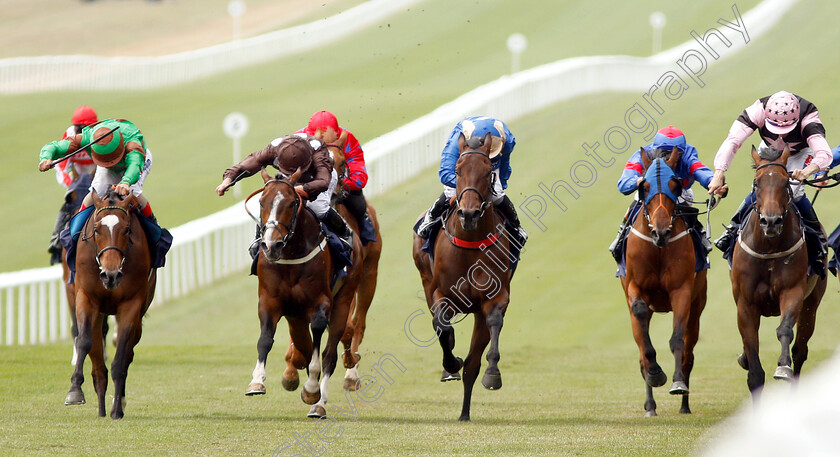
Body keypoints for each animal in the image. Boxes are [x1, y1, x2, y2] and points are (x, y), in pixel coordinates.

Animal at [64, 188, 156, 416]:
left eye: (127, 229)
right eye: (97, 229)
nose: (110, 275)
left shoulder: (131, 304)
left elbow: (122, 354)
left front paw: (117, 409)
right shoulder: (86, 297)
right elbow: (84, 340)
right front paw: (75, 390)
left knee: (128, 351)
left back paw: (115, 403)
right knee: (96, 357)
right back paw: (101, 407)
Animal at [243, 167, 360, 416]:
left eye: (290, 203)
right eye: (261, 202)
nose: (271, 245)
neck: (291, 255)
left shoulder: (321, 302)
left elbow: (318, 340)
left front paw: (312, 387)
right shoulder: (269, 301)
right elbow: (265, 339)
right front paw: (256, 382)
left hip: (343, 299)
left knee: (329, 355)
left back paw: (318, 402)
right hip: (295, 315)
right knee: (304, 346)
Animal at [412, 132, 516, 420]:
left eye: (488, 171)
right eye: (457, 170)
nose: (469, 214)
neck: (470, 242)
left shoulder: (495, 297)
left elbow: (493, 323)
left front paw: (493, 373)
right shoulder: (441, 293)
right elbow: (441, 325)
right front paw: (450, 364)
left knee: (472, 364)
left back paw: (464, 413)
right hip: (426, 280)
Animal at [616, 147, 708, 416]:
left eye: (675, 186)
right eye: (644, 186)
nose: (661, 232)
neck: (658, 248)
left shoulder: (682, 291)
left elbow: (678, 339)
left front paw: (677, 383)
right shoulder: (634, 286)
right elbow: (641, 324)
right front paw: (655, 373)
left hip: (698, 306)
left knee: (689, 352)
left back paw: (684, 404)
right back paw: (650, 405)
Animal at [728, 146, 828, 400]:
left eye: (785, 183)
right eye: (756, 183)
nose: (771, 221)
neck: (769, 248)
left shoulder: (792, 292)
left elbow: (784, 330)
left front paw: (783, 366)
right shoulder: (745, 304)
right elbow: (753, 363)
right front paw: (748, 362)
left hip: (812, 304)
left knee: (801, 349)